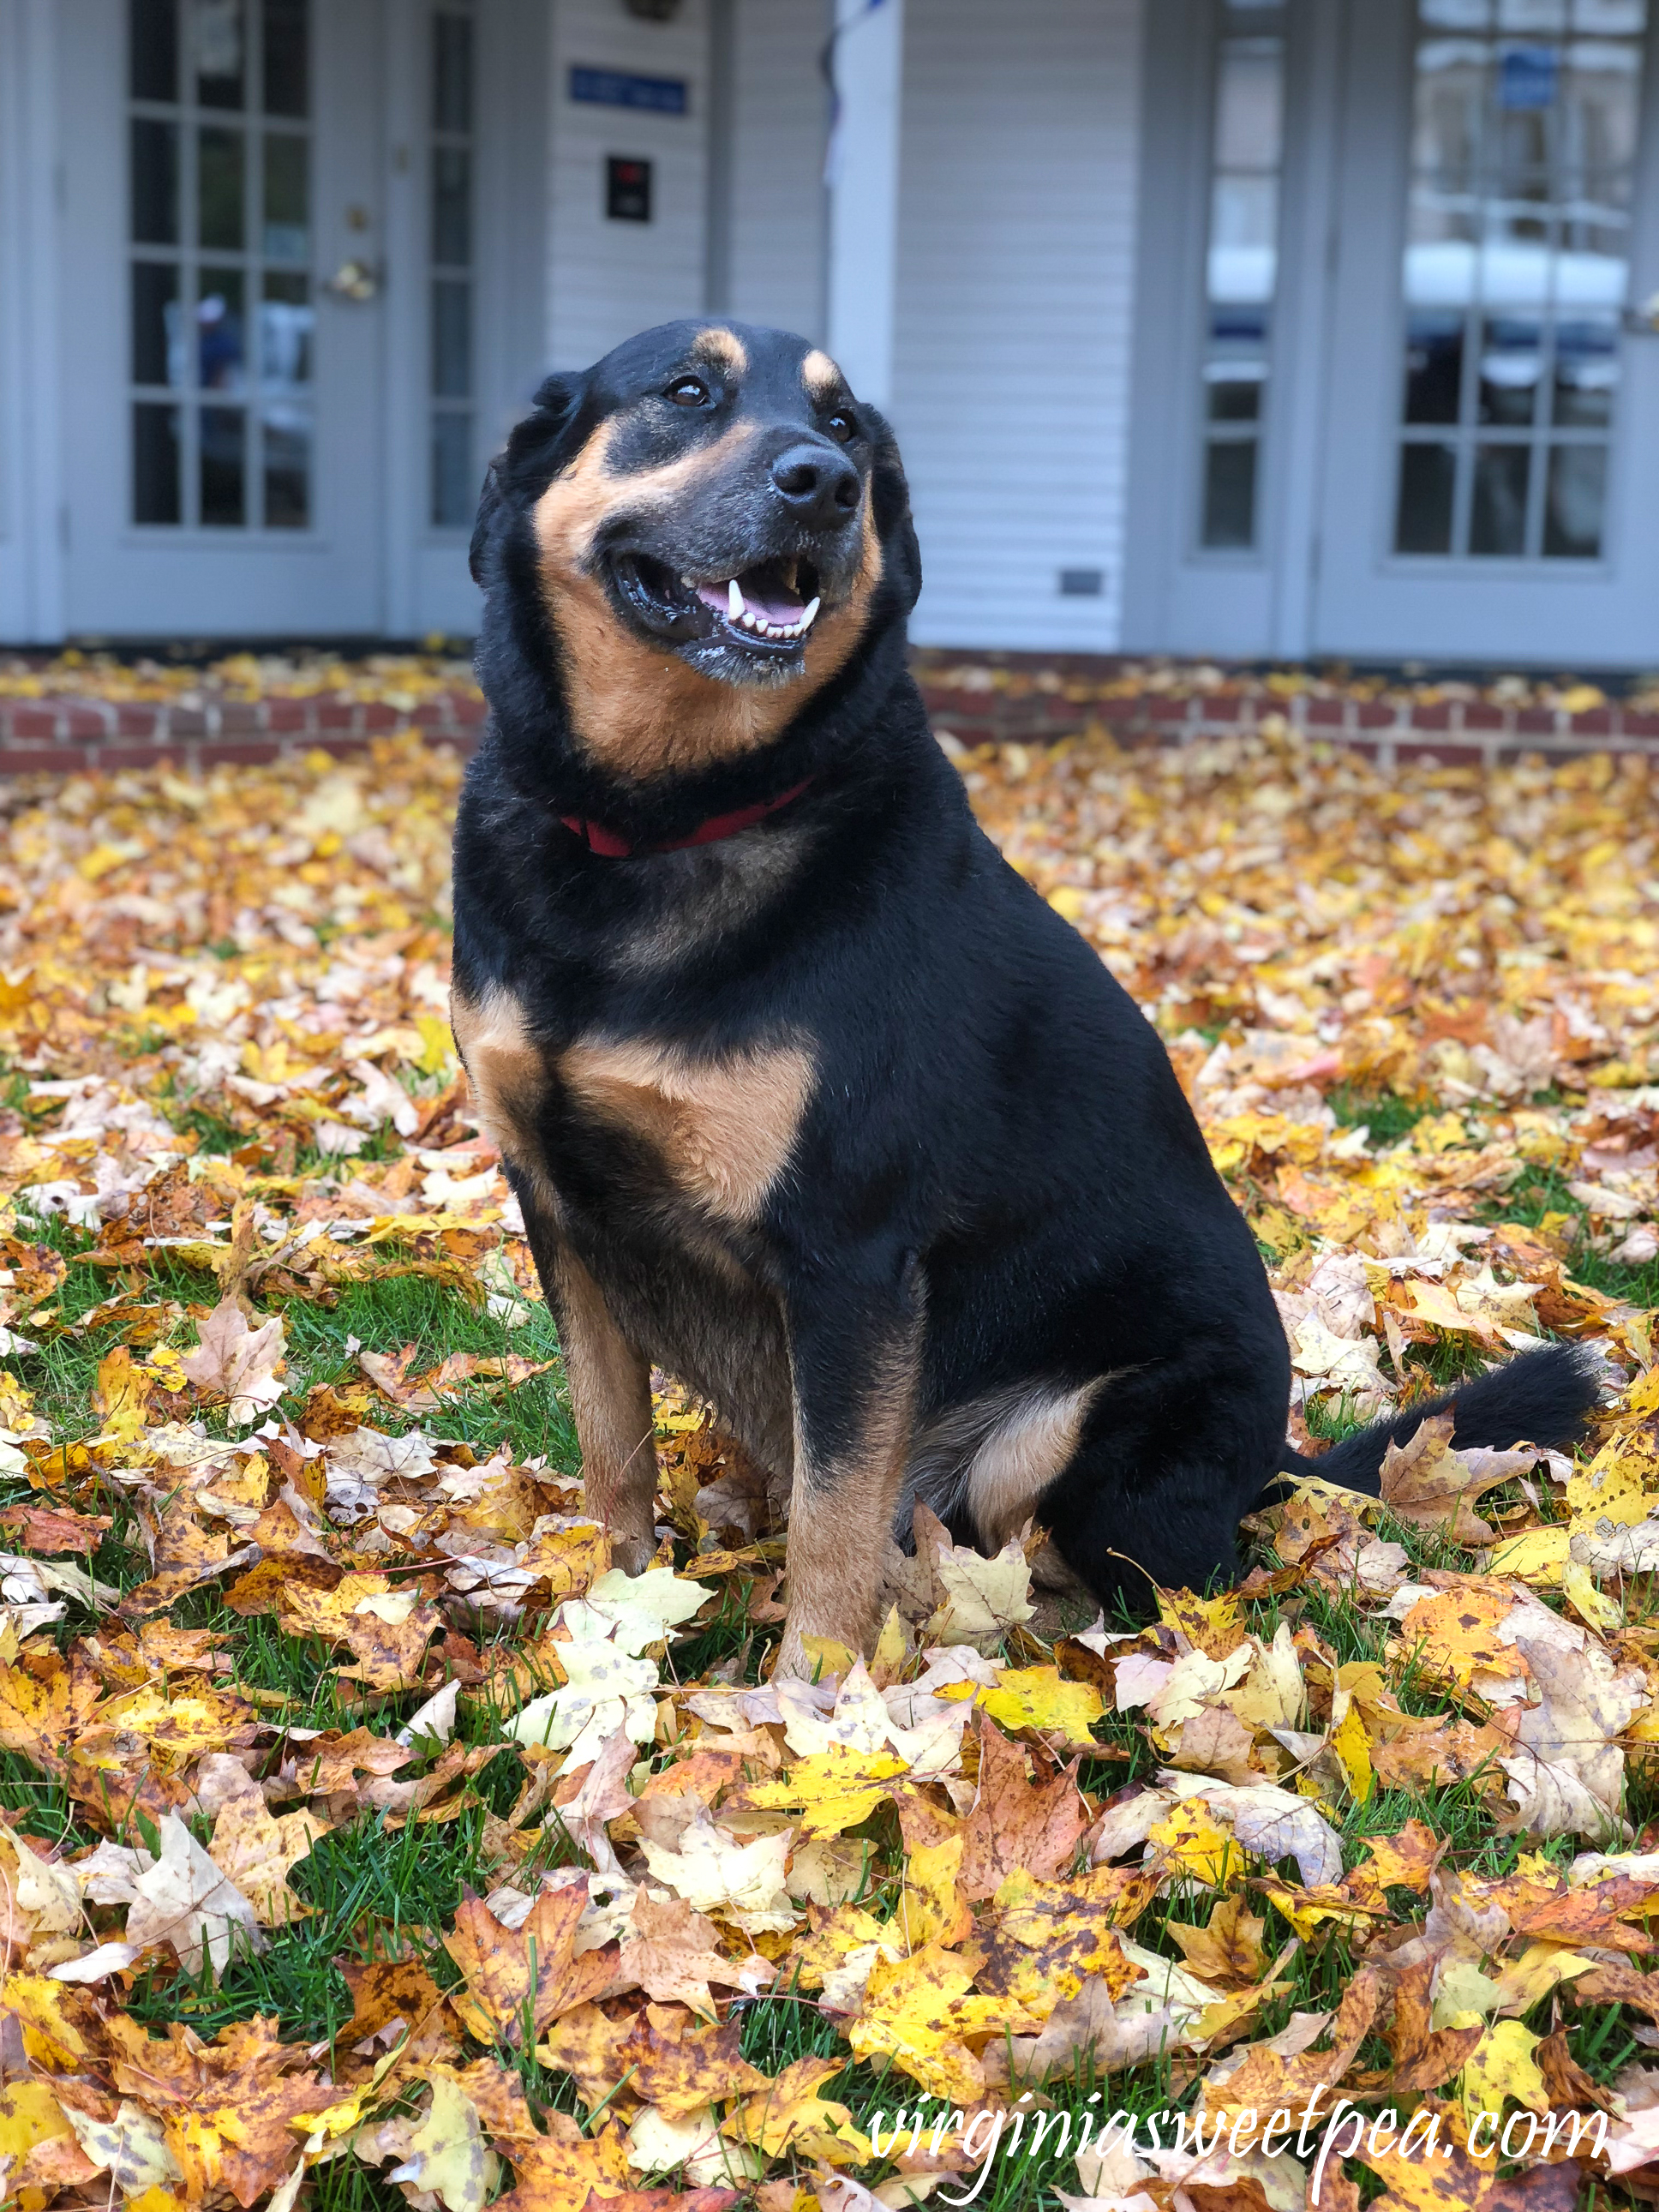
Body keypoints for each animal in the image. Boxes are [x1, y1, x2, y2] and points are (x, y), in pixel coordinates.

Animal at [451, 321, 1601, 1663]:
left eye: (846, 429)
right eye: (688, 390)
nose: (823, 486)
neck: (661, 819)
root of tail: (1278, 1461)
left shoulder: (849, 1259)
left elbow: (831, 1528)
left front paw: (803, 1693)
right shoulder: (560, 1206)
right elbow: (611, 1453)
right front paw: (613, 1625)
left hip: (1077, 1431)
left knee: (1132, 1581)